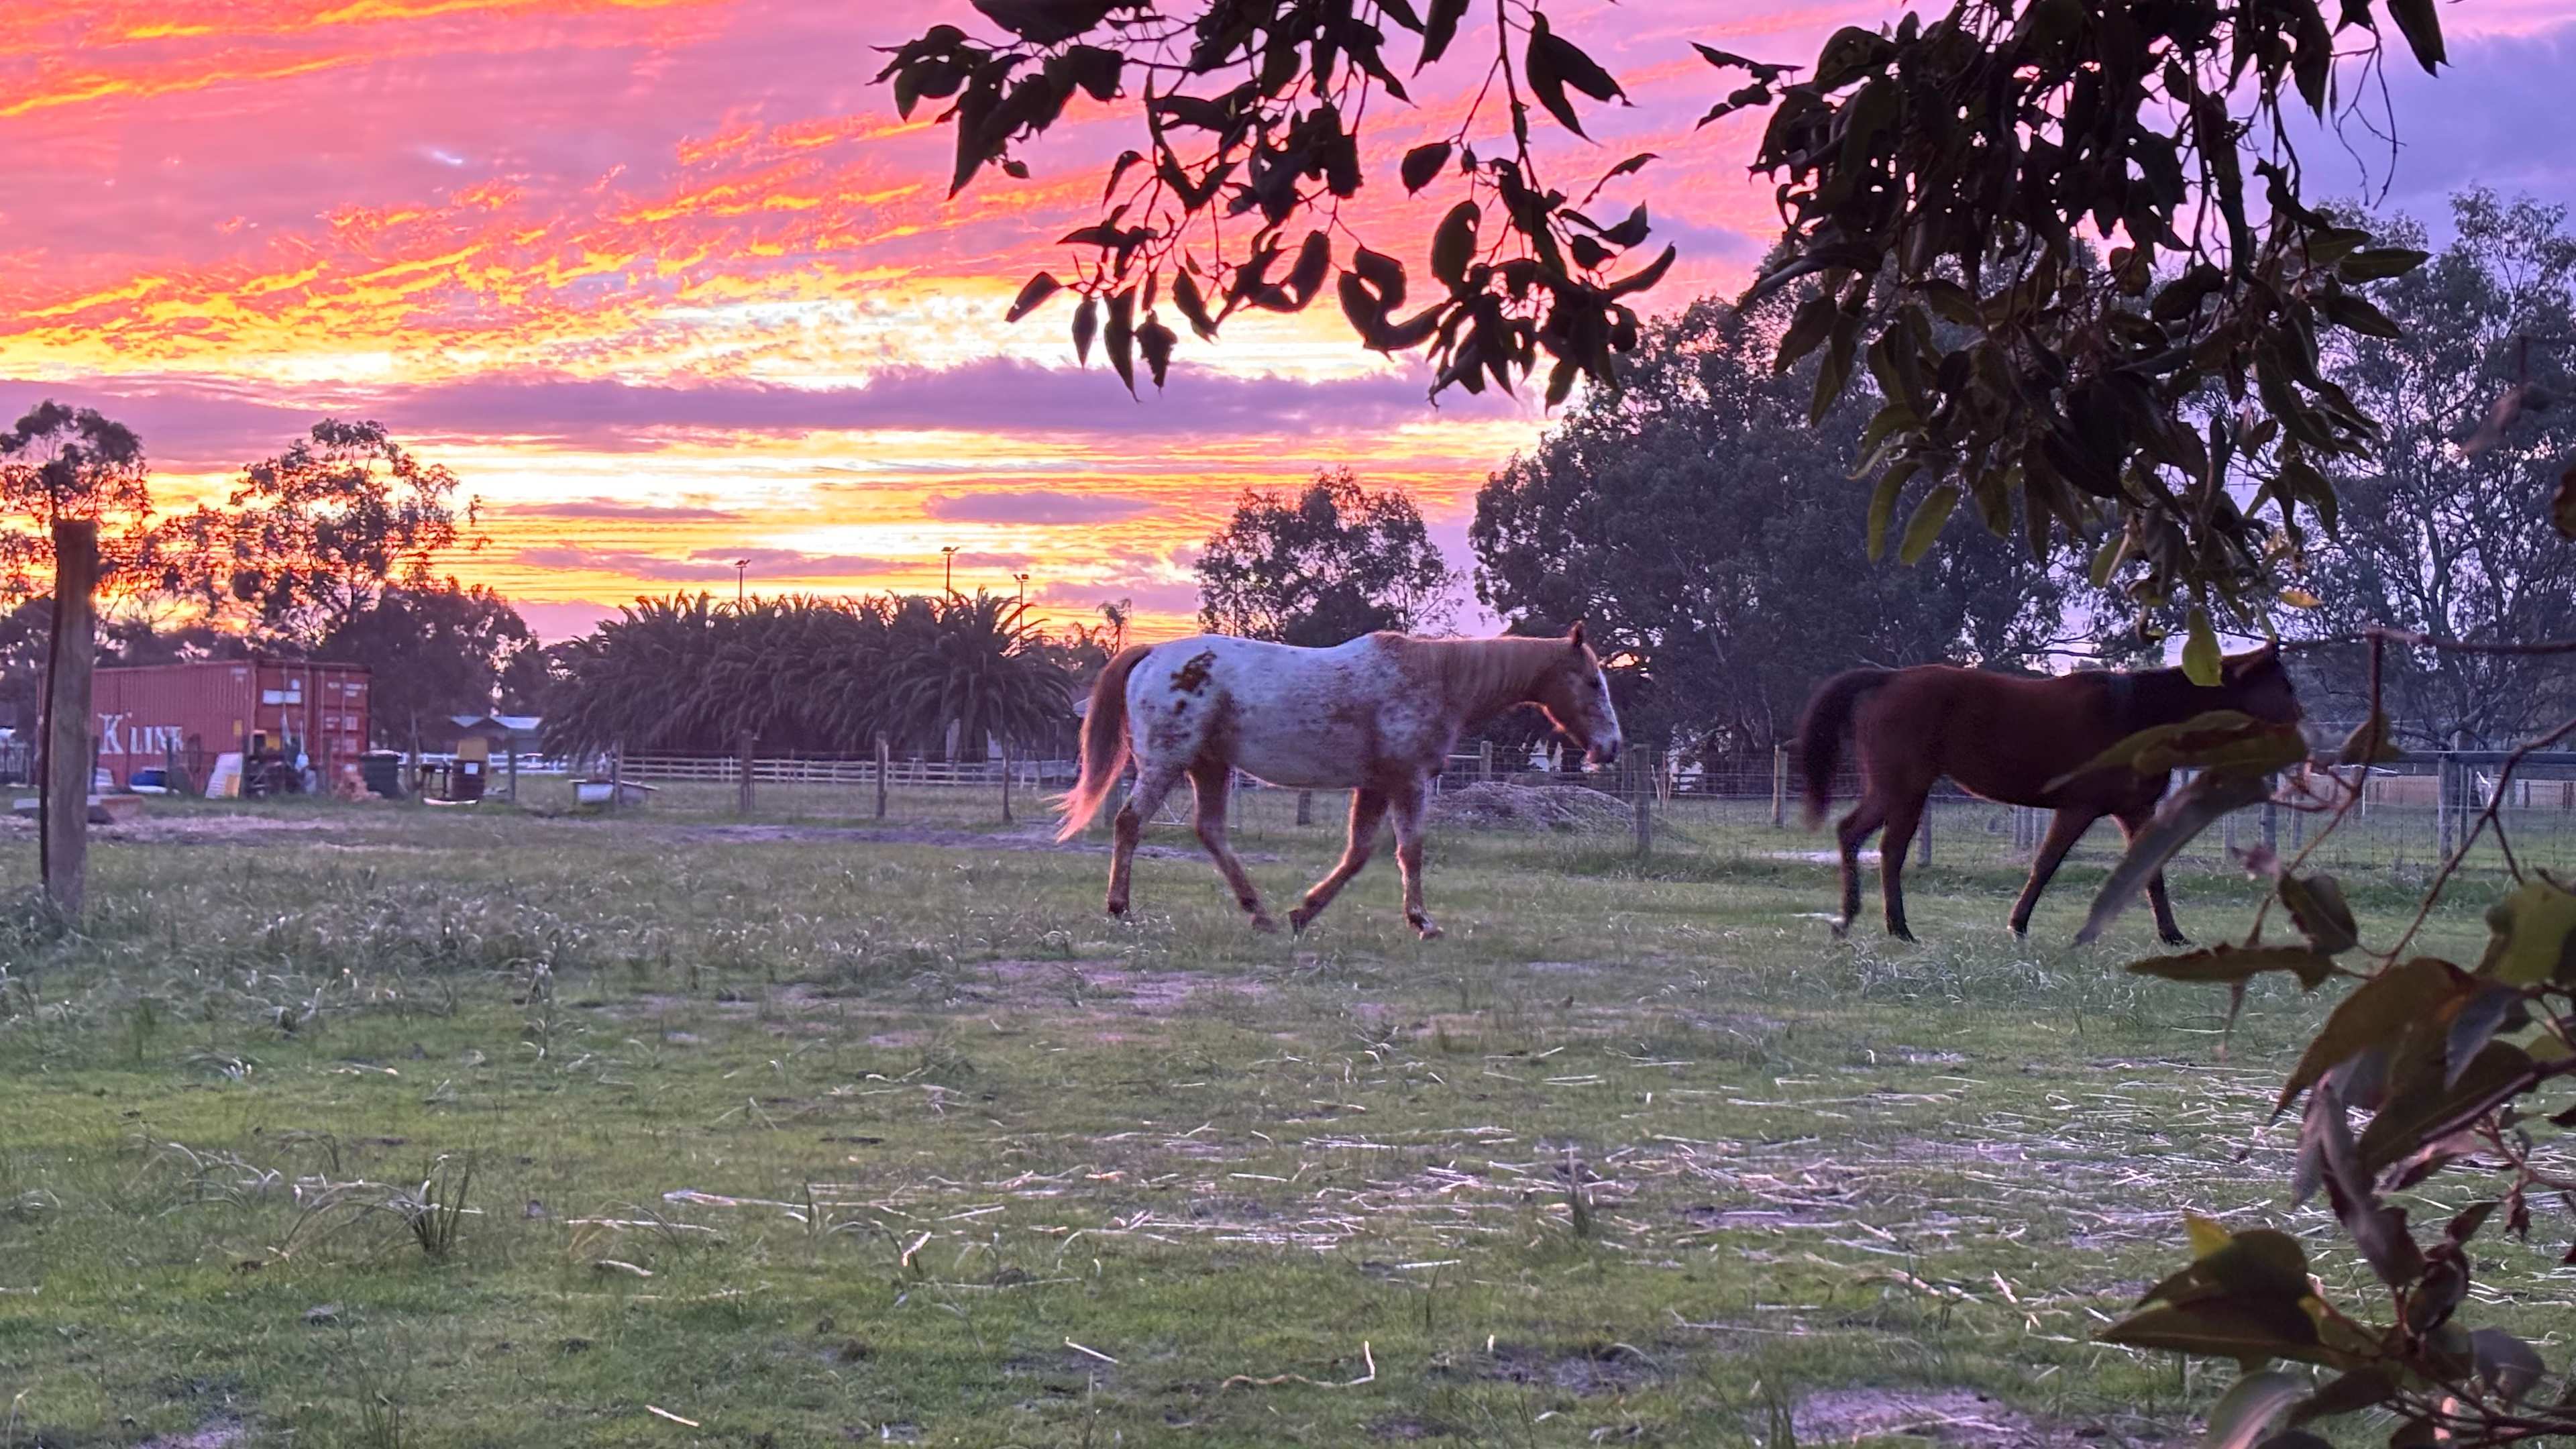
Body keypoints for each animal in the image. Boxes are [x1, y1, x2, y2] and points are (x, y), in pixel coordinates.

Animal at [1055, 624, 1624, 939]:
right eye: (1592, 681)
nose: (1611, 746)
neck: (1437, 678)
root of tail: (1153, 654)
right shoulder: (1407, 782)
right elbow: (1410, 851)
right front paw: (1423, 922)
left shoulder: (1374, 786)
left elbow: (1358, 854)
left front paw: (1303, 913)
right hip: (1167, 764)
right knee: (1130, 823)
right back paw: (1121, 908)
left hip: (1209, 767)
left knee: (1210, 833)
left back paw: (1260, 914)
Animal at [1795, 644, 2301, 944]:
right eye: (2283, 684)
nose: (2301, 720)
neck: (2139, 714)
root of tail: (1889, 679)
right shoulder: (2079, 809)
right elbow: (2046, 864)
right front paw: (2018, 923)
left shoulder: (2135, 810)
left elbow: (2151, 872)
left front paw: (2172, 934)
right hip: (1905, 788)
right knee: (1887, 848)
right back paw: (1895, 926)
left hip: (1895, 789)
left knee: (1854, 835)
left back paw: (1854, 917)